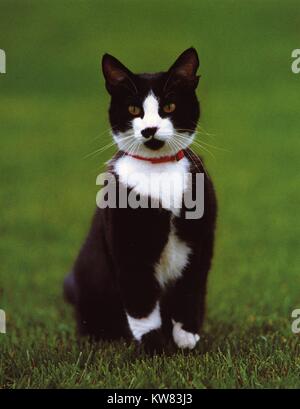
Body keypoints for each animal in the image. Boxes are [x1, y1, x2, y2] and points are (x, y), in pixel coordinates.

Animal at [64, 47, 217, 352]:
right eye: (134, 110)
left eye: (169, 107)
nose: (150, 129)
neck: (158, 170)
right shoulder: (127, 243)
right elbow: (141, 300)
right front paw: (153, 346)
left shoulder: (200, 238)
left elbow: (190, 287)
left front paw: (186, 337)